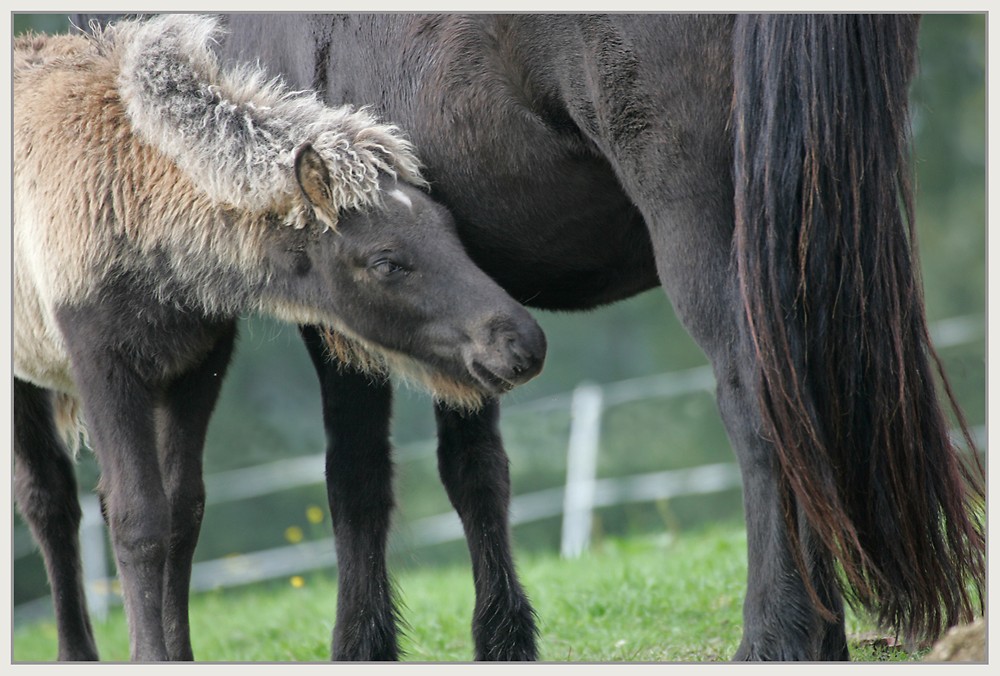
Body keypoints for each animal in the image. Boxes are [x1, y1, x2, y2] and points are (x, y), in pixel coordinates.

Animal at [78, 13, 984, 664]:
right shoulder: (462, 327)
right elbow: (475, 470)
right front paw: (504, 638)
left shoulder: (343, 314)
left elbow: (357, 477)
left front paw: (362, 647)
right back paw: (823, 633)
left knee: (760, 408)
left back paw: (775, 639)